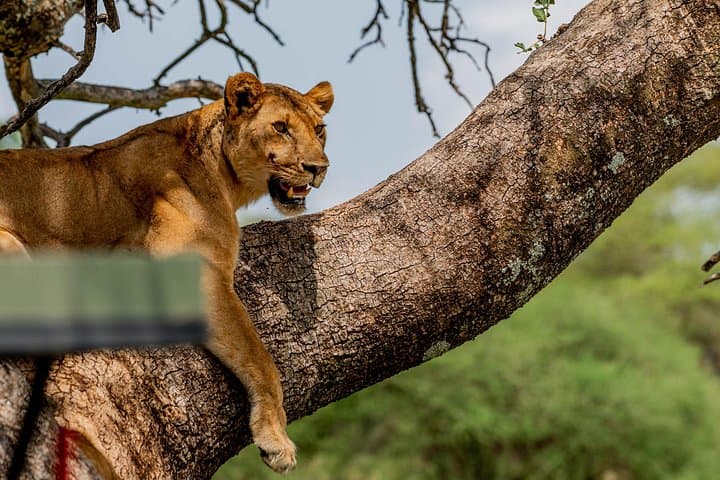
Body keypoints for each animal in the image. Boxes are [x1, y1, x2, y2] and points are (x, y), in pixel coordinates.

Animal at [0, 72, 333, 475]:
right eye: (281, 127)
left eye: (320, 129)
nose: (319, 168)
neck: (223, 174)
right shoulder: (193, 272)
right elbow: (261, 359)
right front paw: (276, 440)